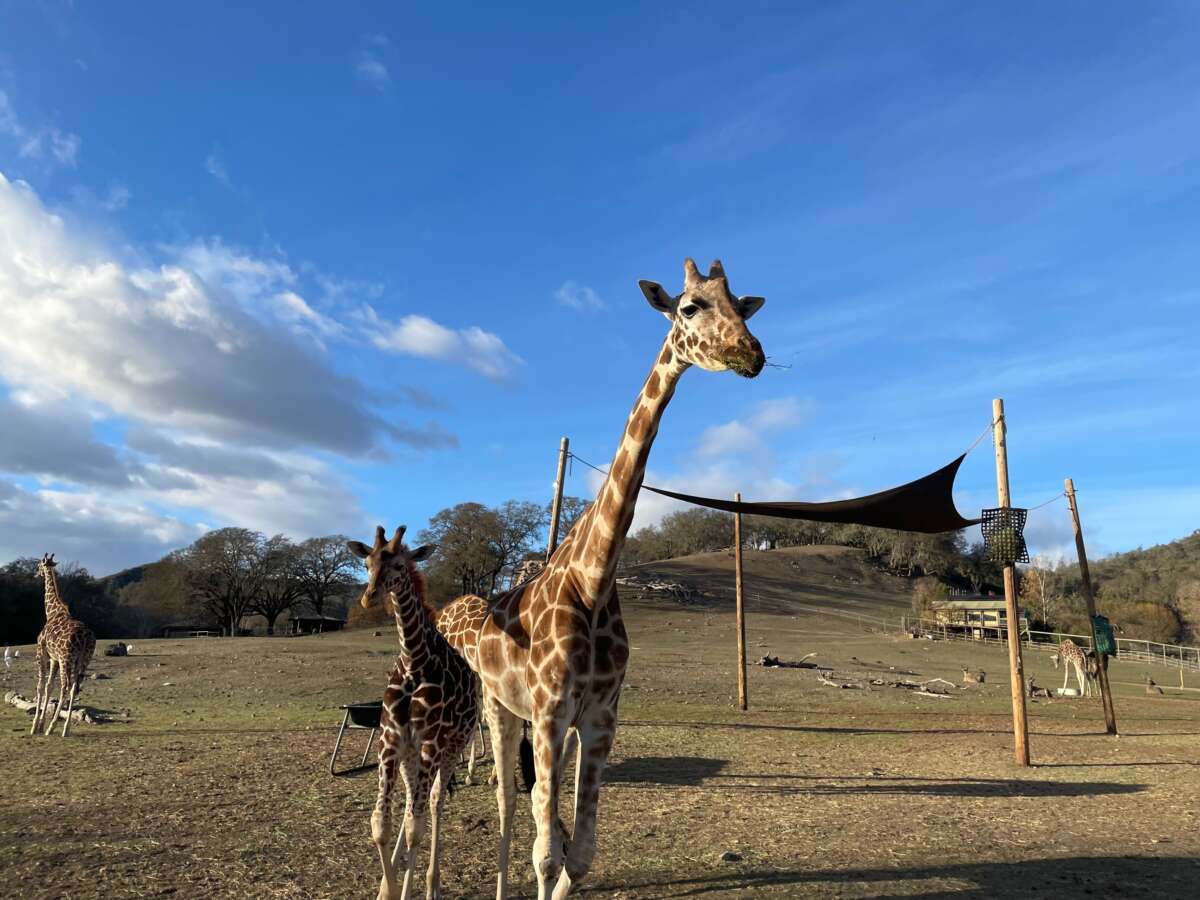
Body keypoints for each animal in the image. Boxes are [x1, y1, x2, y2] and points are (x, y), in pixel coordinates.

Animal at [30, 553, 96, 737]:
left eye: (39, 565)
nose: (35, 574)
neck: (51, 612)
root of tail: (86, 636)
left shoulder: (42, 652)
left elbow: (41, 686)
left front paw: (35, 727)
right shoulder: (54, 659)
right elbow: (49, 687)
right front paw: (40, 725)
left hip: (67, 659)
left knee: (65, 686)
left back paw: (53, 728)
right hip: (83, 660)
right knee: (75, 687)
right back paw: (65, 728)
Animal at [348, 525, 479, 900]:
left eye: (399, 567)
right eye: (367, 563)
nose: (369, 598)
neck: (413, 663)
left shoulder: (431, 744)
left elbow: (415, 828)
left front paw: (406, 889)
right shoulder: (390, 742)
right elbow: (381, 823)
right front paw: (388, 889)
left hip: (452, 747)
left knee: (434, 803)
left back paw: (433, 883)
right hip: (412, 754)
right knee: (410, 802)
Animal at [432, 258, 766, 900]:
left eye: (742, 303)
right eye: (689, 306)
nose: (751, 352)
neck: (592, 579)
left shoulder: (600, 715)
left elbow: (578, 854)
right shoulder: (548, 710)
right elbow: (544, 853)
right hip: (499, 707)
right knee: (507, 804)